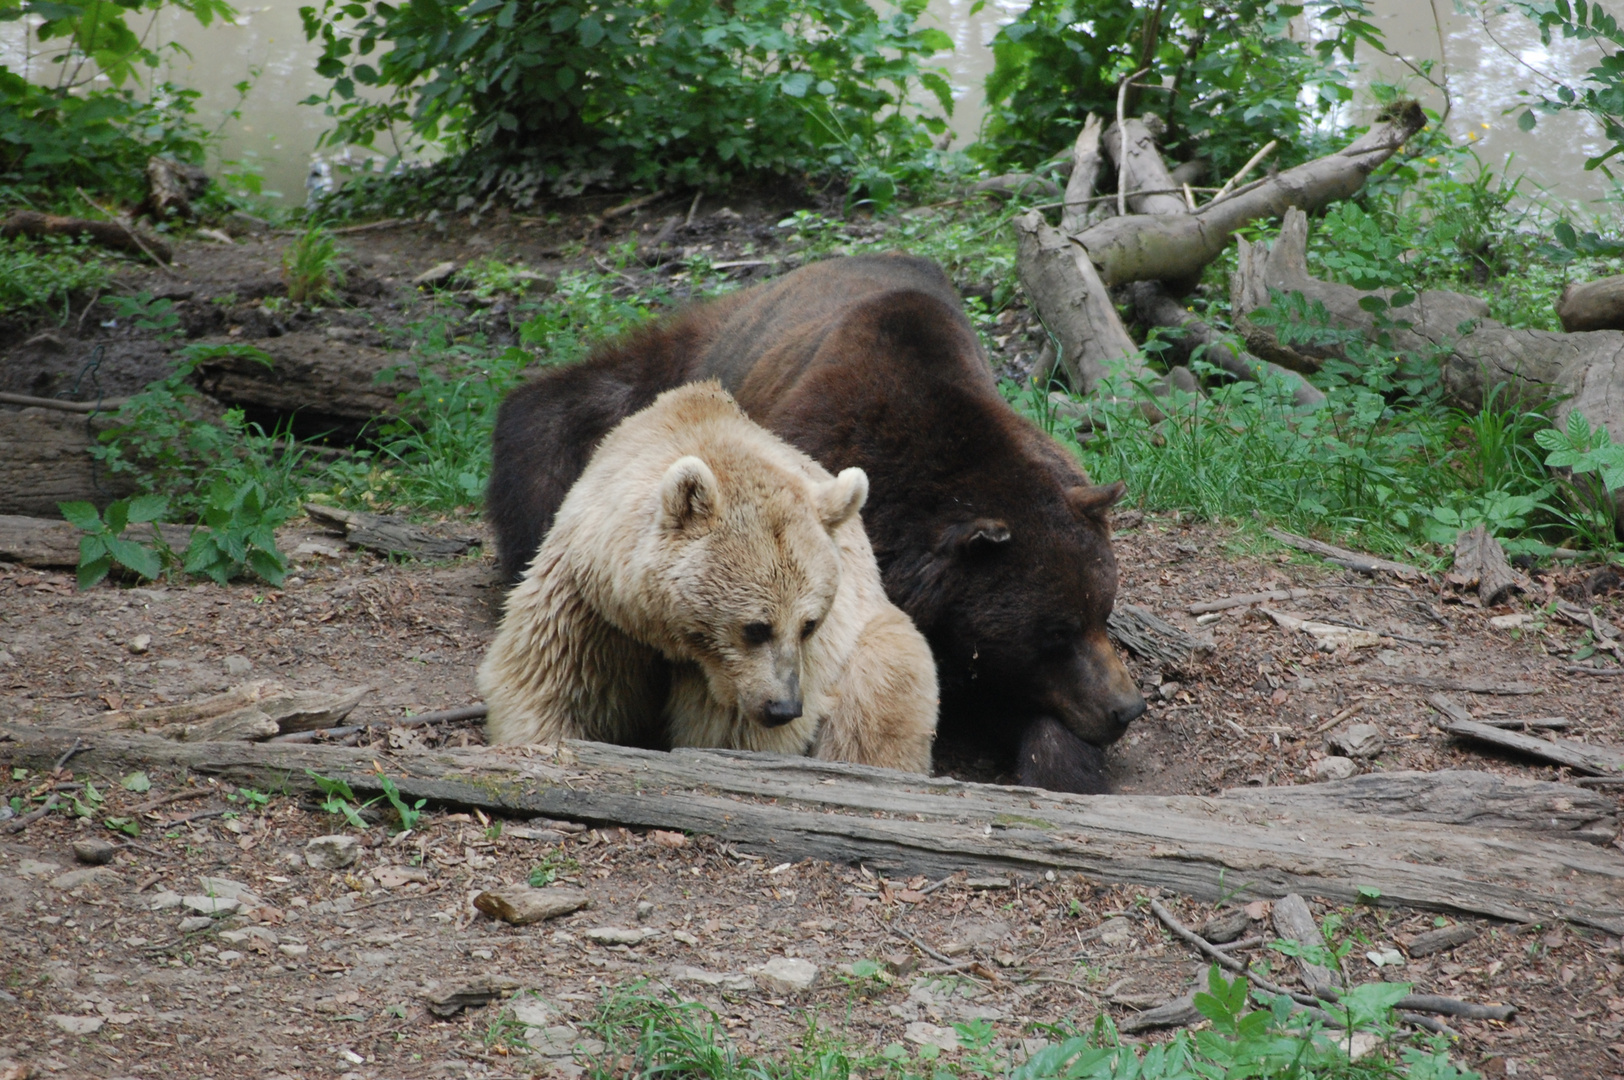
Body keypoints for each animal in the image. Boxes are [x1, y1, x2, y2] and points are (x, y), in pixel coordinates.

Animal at [477, 378, 941, 766]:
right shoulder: (592, 603)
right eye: (757, 627)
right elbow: (558, 680)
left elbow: (729, 732)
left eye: (810, 625)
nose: (783, 707)